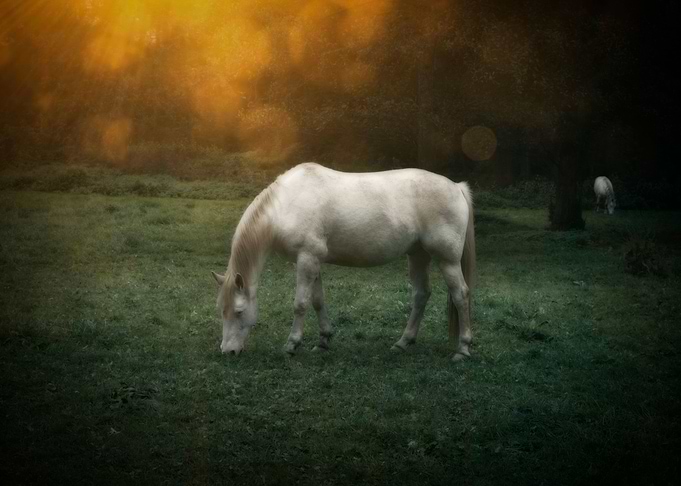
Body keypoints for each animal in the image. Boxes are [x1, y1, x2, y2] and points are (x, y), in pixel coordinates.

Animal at [211, 162, 476, 362]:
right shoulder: (312, 261)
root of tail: (456, 187)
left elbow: (300, 303)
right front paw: (323, 340)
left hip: (447, 260)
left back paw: (462, 349)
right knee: (421, 295)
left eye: (239, 311)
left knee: (460, 295)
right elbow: (317, 301)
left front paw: (292, 344)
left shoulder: (306, 259)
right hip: (418, 255)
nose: (228, 351)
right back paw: (403, 342)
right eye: (221, 309)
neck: (287, 204)